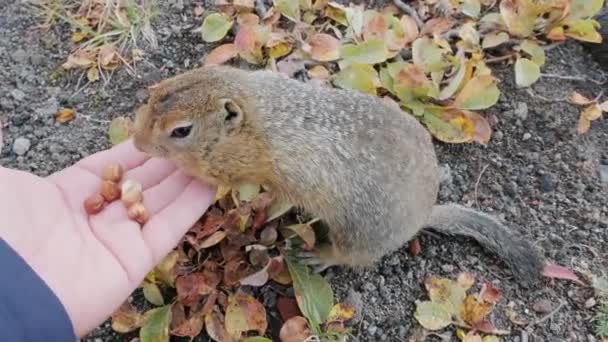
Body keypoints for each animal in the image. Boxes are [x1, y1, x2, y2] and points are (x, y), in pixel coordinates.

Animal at [132, 64, 548, 284]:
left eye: (181, 131)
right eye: (155, 94)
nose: (136, 143)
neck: (256, 108)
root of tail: (425, 215)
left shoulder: (247, 163)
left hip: (356, 233)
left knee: (350, 257)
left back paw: (321, 255)